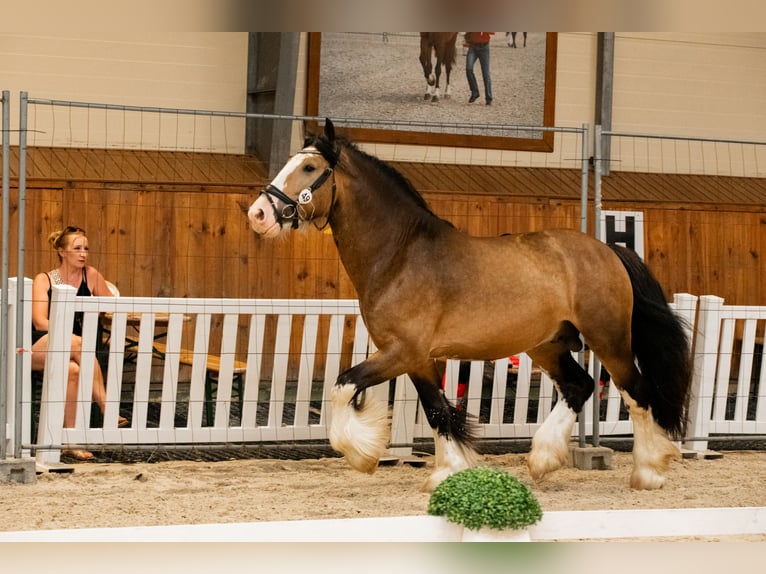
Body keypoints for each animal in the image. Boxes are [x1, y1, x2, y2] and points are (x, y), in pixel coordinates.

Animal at [248, 119, 696, 492]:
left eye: (309, 168)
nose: (258, 214)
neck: (400, 256)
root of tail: (608, 250)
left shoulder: (402, 351)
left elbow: (344, 386)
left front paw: (363, 453)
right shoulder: (418, 359)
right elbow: (437, 411)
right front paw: (447, 472)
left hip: (609, 339)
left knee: (636, 393)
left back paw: (648, 471)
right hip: (548, 344)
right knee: (580, 385)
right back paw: (543, 459)